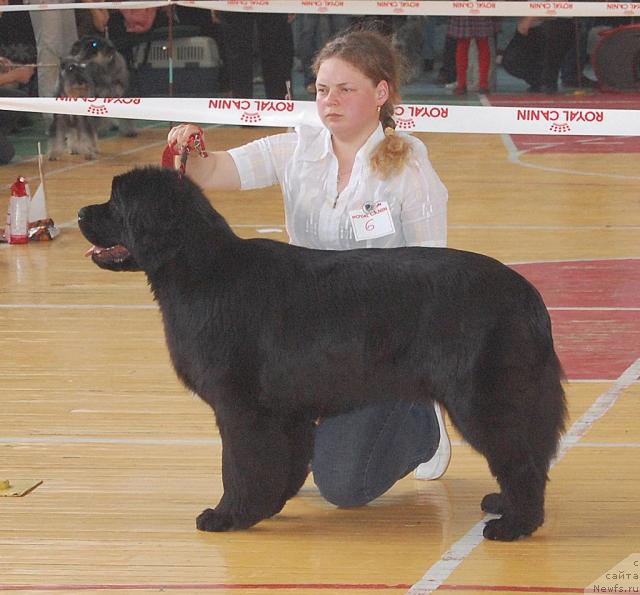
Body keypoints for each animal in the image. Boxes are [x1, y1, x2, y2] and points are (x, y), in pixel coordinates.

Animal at [79, 166, 564, 540]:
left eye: (116, 202)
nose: (80, 211)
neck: (199, 270)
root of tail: (526, 295)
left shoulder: (240, 407)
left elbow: (238, 466)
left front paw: (228, 515)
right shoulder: (283, 409)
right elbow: (282, 462)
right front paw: (266, 506)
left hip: (482, 399)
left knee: (521, 461)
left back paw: (515, 525)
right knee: (531, 455)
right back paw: (504, 504)